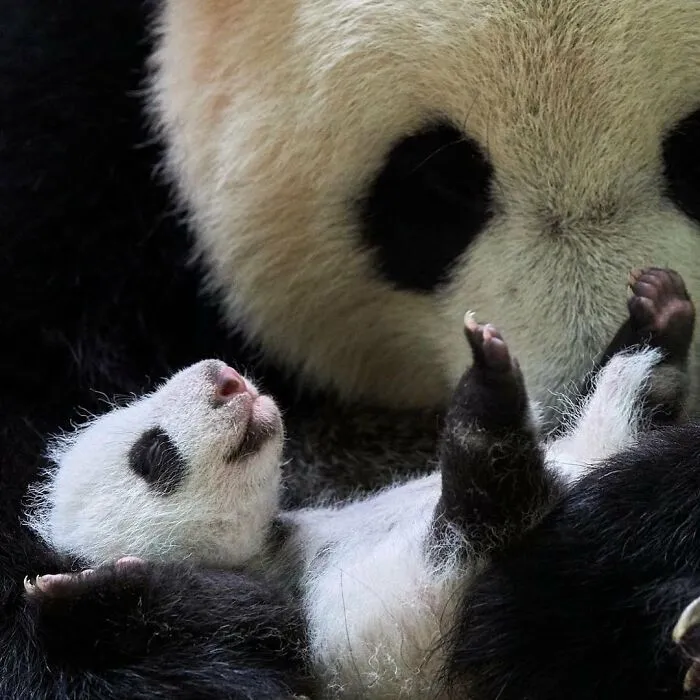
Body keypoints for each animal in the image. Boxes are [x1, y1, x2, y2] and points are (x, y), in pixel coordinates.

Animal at [20, 267, 698, 698]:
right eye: (152, 452)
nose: (223, 376)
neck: (268, 540)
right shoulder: (280, 616)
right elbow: (258, 619)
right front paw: (83, 588)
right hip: (440, 603)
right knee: (489, 504)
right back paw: (487, 395)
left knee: (632, 406)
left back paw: (656, 320)